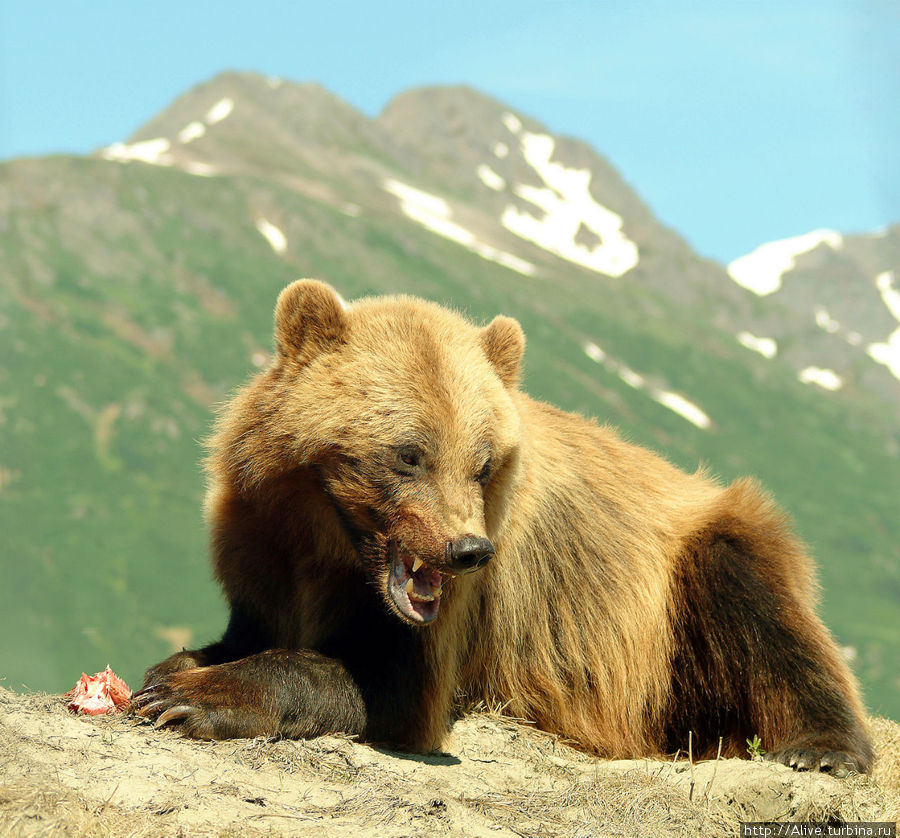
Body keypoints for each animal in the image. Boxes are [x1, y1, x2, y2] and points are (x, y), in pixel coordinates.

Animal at [137, 278, 876, 776]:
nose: (467, 549)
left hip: (683, 582)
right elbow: (246, 630)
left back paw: (823, 749)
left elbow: (384, 683)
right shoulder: (259, 546)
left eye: (483, 461)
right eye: (410, 452)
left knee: (762, 608)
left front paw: (190, 698)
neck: (328, 538)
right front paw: (170, 670)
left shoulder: (453, 625)